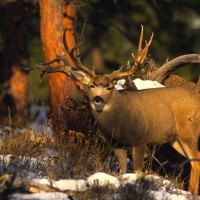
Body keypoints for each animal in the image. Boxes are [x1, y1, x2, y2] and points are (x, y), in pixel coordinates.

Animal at [27, 24, 200, 195]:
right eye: (92, 85)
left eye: (109, 87)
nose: (98, 99)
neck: (119, 122)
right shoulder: (117, 144)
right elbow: (122, 172)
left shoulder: (140, 139)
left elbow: (138, 172)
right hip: (175, 139)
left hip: (188, 130)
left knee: (196, 158)